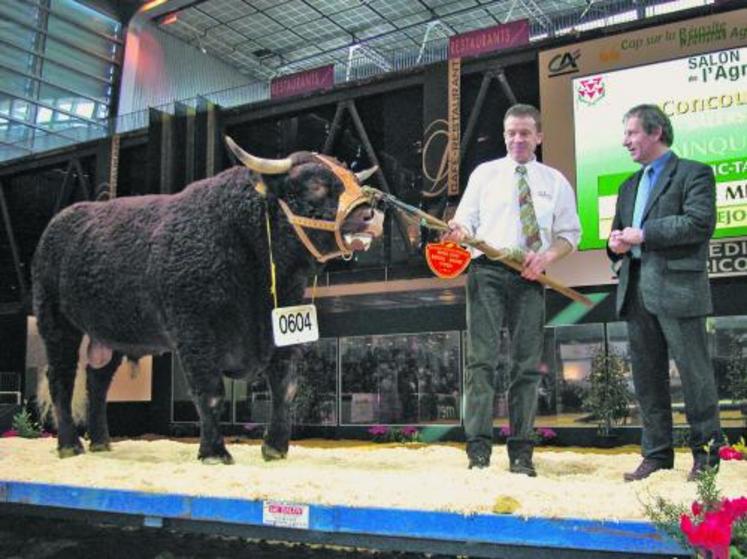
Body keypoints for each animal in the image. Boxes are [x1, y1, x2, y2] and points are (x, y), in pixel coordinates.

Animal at [31, 141, 382, 464]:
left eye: (354, 179)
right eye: (315, 184)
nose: (370, 216)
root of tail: (58, 223)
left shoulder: (284, 327)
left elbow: (285, 387)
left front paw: (275, 448)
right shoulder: (194, 330)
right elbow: (210, 392)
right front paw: (214, 452)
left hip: (112, 334)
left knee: (98, 381)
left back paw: (102, 442)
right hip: (55, 322)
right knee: (61, 380)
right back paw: (69, 445)